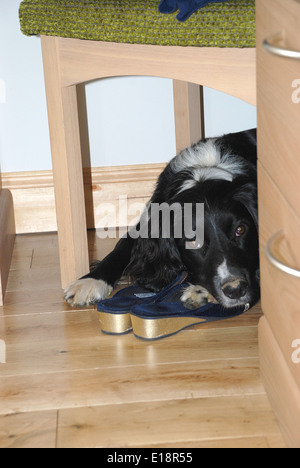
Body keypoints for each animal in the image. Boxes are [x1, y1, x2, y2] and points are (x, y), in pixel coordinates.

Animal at [65, 130, 260, 308]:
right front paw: (90, 281)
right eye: (193, 242)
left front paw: (201, 291)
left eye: (240, 230)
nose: (236, 289)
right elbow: (119, 250)